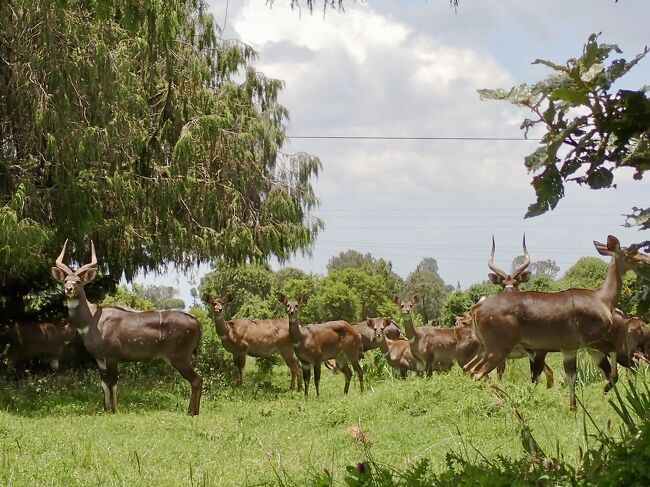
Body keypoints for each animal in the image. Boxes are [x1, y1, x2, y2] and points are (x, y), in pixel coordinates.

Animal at [51, 240, 202, 416]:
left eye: (78, 281)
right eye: (65, 280)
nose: (68, 289)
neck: (92, 320)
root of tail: (196, 322)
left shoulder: (112, 356)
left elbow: (113, 384)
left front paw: (114, 410)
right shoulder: (99, 359)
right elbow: (104, 385)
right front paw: (105, 410)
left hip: (179, 357)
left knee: (196, 380)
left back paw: (191, 412)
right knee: (198, 380)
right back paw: (194, 411)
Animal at [466, 236, 648, 412]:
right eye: (631, 252)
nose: (646, 259)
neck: (601, 299)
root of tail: (477, 307)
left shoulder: (571, 349)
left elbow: (571, 376)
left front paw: (573, 408)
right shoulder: (592, 342)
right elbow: (614, 360)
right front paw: (605, 389)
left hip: (485, 350)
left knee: (470, 369)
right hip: (498, 350)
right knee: (477, 373)